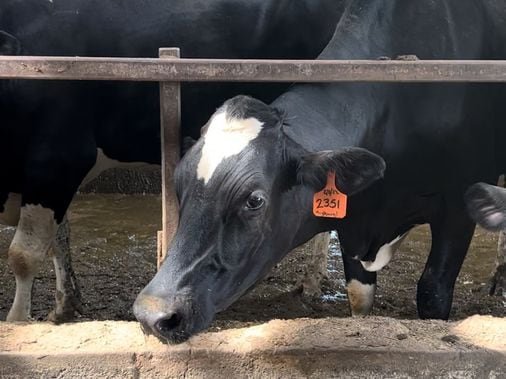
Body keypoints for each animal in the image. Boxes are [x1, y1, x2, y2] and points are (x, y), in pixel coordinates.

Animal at [0, 0, 344, 322]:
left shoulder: (58, 158)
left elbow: (24, 254)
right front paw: (64, 307)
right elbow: (58, 239)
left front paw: (18, 322)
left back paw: (312, 282)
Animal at [133, 0, 506, 344]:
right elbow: (359, 295)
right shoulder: (354, 220)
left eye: (254, 200)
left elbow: (432, 293)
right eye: (178, 183)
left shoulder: (458, 208)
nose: (153, 314)